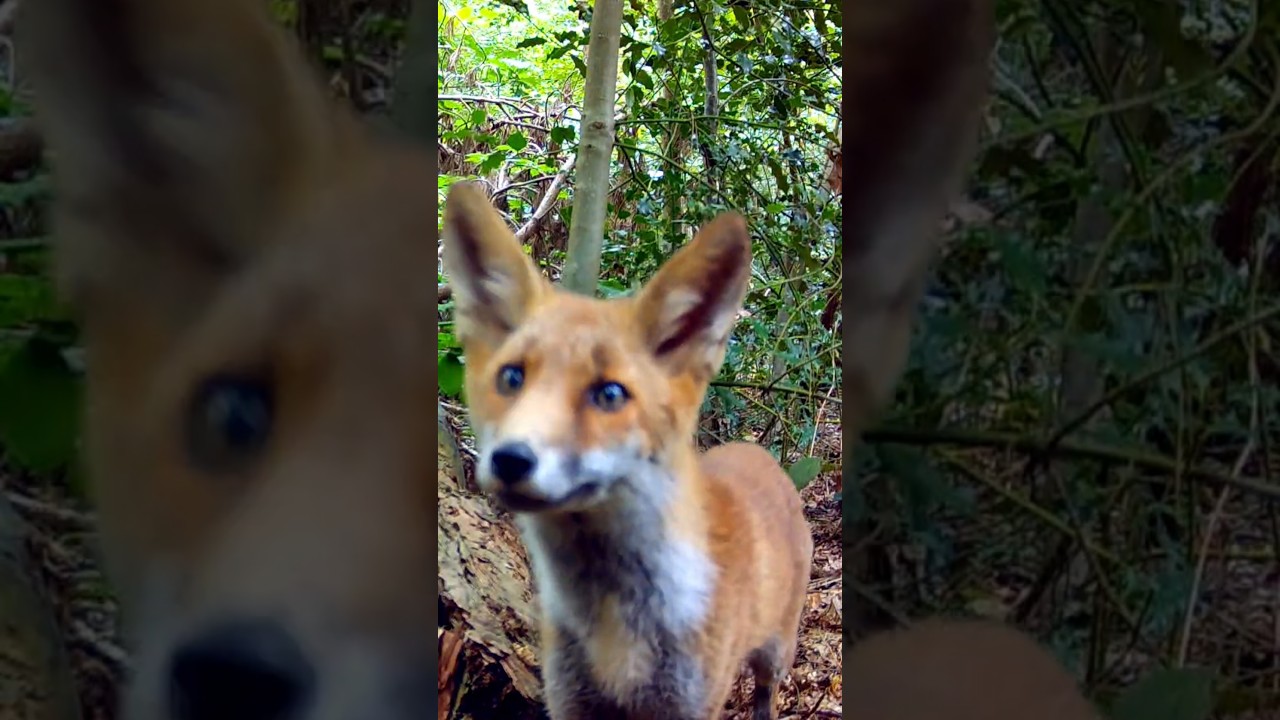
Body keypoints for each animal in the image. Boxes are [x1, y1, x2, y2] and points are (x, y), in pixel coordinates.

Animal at [441, 182, 815, 720]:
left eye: (610, 393)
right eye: (511, 377)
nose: (511, 459)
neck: (615, 634)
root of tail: (758, 454)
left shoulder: (689, 705)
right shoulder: (572, 701)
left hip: (775, 653)